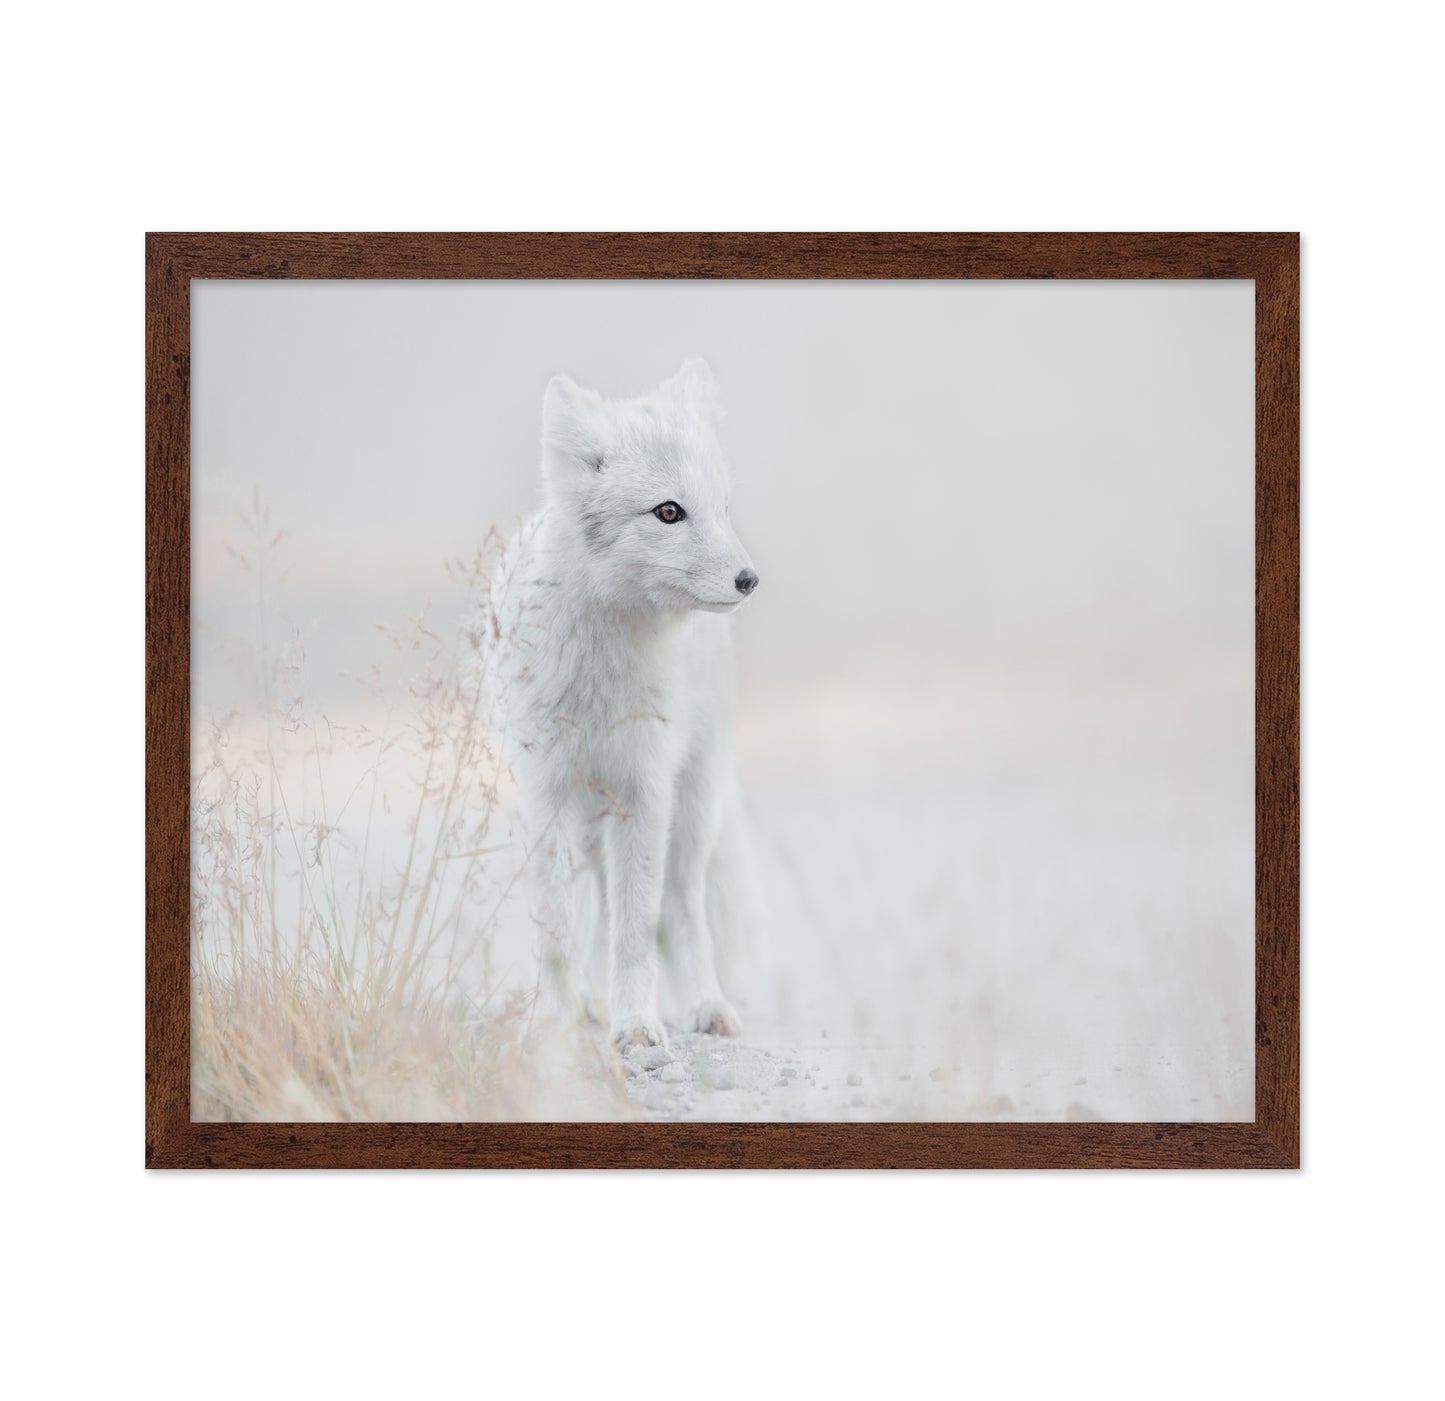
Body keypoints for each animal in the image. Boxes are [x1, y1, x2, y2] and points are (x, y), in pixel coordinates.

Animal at [485, 359, 760, 1051]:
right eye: (668, 511)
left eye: (722, 508)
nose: (750, 579)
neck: (599, 682)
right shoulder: (548, 795)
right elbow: (557, 927)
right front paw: (561, 1018)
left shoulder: (643, 789)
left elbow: (637, 931)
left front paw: (635, 1024)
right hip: (593, 826)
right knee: (599, 911)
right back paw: (592, 1003)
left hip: (687, 815)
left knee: (680, 908)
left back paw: (704, 1006)